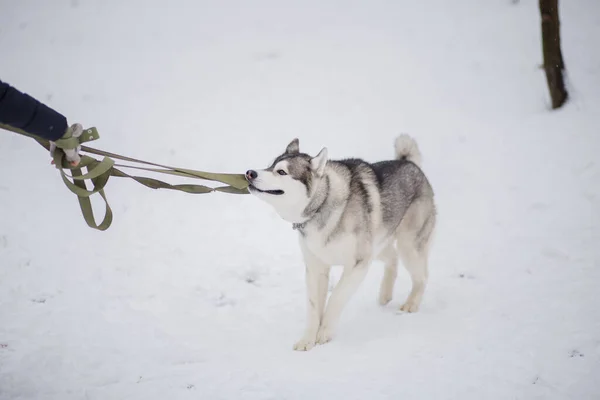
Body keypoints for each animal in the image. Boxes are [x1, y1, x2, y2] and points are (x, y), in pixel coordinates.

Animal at [244, 136, 436, 352]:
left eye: (282, 172)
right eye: (270, 166)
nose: (250, 173)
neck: (322, 205)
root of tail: (409, 163)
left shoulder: (358, 264)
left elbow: (336, 297)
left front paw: (325, 333)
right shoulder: (316, 268)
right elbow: (313, 308)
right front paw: (307, 340)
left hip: (408, 246)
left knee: (421, 277)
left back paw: (411, 303)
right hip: (378, 246)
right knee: (392, 259)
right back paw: (385, 295)